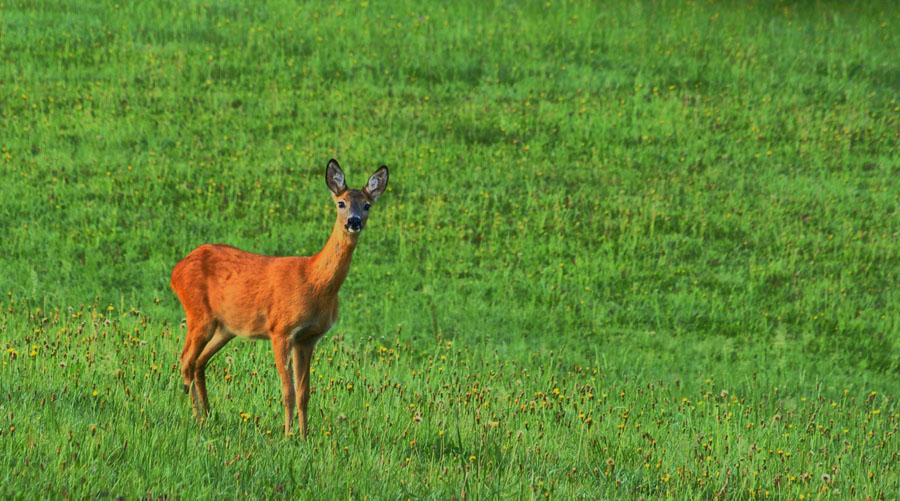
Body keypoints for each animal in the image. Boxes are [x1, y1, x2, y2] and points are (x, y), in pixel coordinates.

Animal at [171, 158, 388, 436]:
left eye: (367, 204)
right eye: (341, 203)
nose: (354, 221)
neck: (315, 281)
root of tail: (176, 270)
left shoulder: (308, 338)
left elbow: (305, 393)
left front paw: (305, 435)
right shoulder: (281, 330)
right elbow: (288, 392)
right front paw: (287, 435)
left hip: (225, 328)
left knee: (199, 362)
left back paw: (209, 416)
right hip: (199, 315)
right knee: (186, 360)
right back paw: (198, 418)